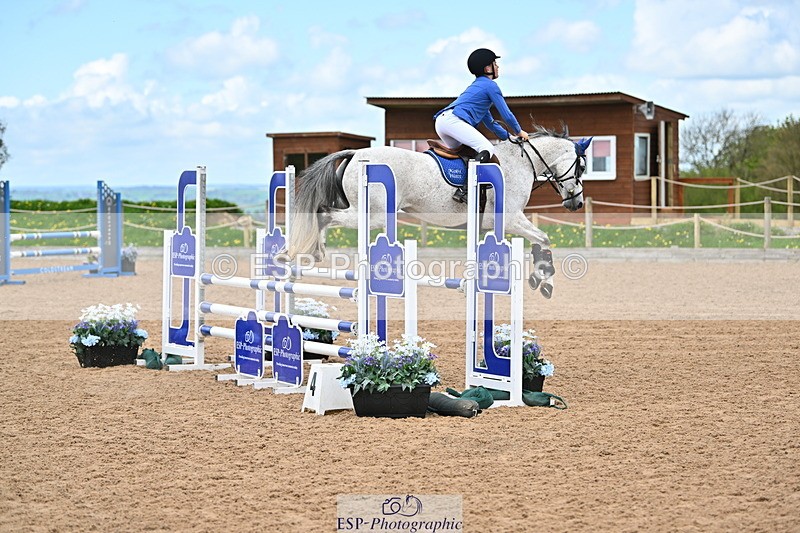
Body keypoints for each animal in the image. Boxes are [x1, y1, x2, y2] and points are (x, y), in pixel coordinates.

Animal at [288, 126, 589, 298]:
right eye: (582, 167)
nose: (576, 203)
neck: (521, 162)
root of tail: (354, 154)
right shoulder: (512, 219)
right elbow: (544, 238)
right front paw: (544, 279)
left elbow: (535, 242)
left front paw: (538, 278)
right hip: (372, 215)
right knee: (324, 212)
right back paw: (314, 250)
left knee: (325, 213)